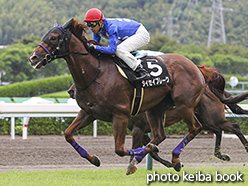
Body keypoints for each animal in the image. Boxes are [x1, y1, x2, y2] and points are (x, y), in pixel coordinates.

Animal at [27, 18, 205, 171]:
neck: (96, 73)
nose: (33, 58)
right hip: (155, 109)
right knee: (159, 135)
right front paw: (94, 159)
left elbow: (120, 149)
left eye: (54, 37)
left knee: (195, 128)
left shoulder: (120, 115)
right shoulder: (89, 113)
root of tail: (194, 66)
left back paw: (174, 158)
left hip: (183, 104)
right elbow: (68, 134)